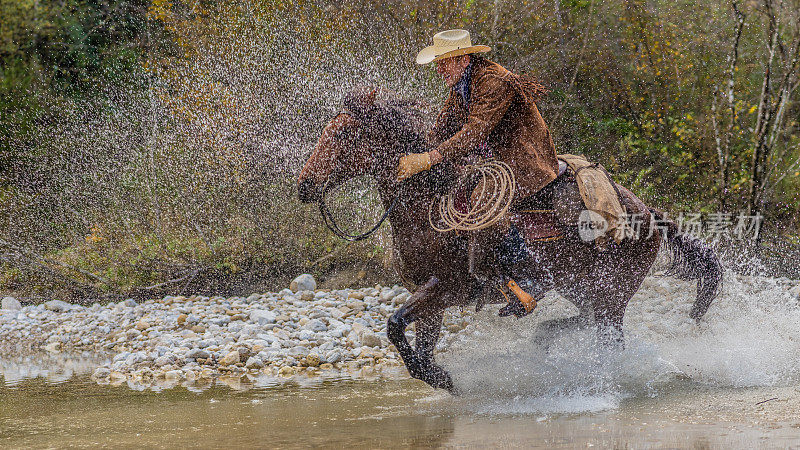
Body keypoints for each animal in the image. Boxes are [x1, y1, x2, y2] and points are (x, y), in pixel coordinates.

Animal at [296, 89, 720, 392]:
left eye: (344, 134)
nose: (304, 185)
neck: (429, 204)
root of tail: (648, 214)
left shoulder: (445, 289)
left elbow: (395, 325)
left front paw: (443, 378)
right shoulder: (430, 298)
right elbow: (413, 342)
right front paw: (439, 378)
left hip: (612, 294)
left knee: (609, 341)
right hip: (579, 287)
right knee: (583, 322)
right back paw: (545, 339)